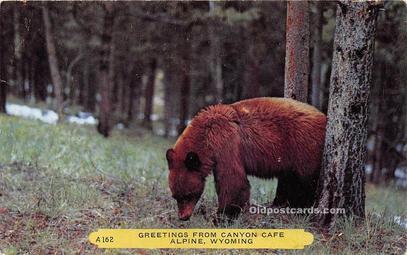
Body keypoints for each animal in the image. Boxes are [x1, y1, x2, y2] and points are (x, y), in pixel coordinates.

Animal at [166, 96, 328, 220]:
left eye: (187, 195)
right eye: (175, 196)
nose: (183, 217)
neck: (206, 134)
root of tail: (325, 117)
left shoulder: (226, 142)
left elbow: (233, 180)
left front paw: (222, 216)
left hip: (305, 147)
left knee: (305, 181)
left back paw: (301, 209)